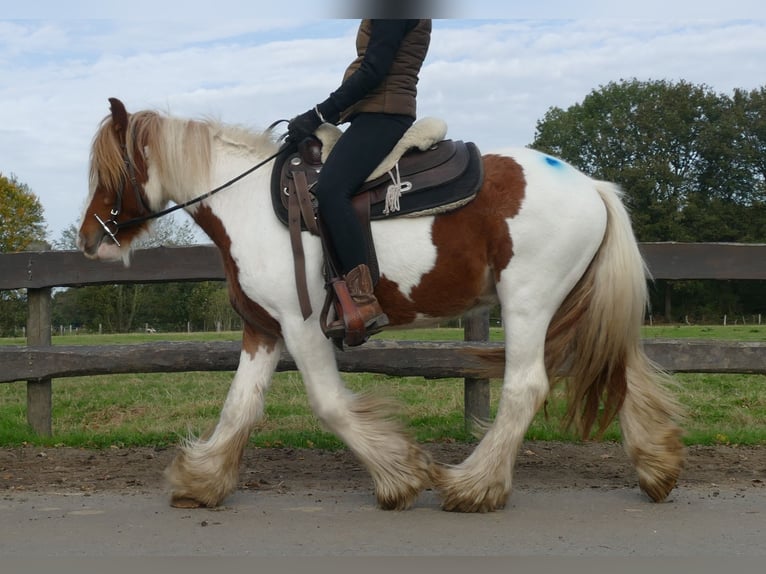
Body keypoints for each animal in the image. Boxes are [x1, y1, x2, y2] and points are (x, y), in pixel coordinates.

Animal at [76, 98, 684, 512]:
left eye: (108, 171)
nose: (88, 240)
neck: (247, 203)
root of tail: (593, 186)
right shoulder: (263, 329)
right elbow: (240, 408)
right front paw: (200, 482)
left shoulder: (302, 327)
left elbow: (329, 405)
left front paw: (399, 476)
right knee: (620, 371)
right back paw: (656, 470)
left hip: (528, 303)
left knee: (526, 388)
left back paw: (473, 486)